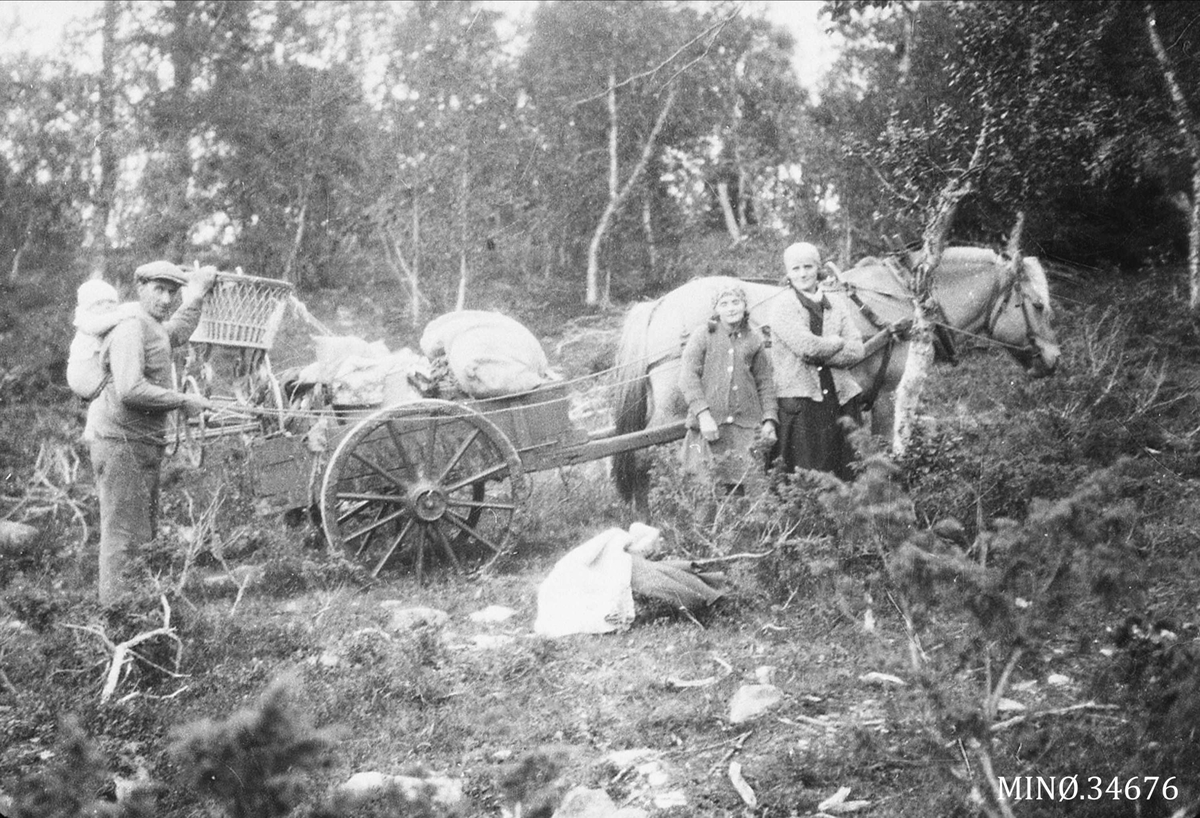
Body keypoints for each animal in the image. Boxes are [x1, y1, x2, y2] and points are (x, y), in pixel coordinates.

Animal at [609, 245, 1060, 501]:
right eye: (1038, 305)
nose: (1053, 359)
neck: (903, 299)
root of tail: (659, 304)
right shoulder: (889, 396)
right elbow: (887, 454)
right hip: (675, 410)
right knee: (642, 465)